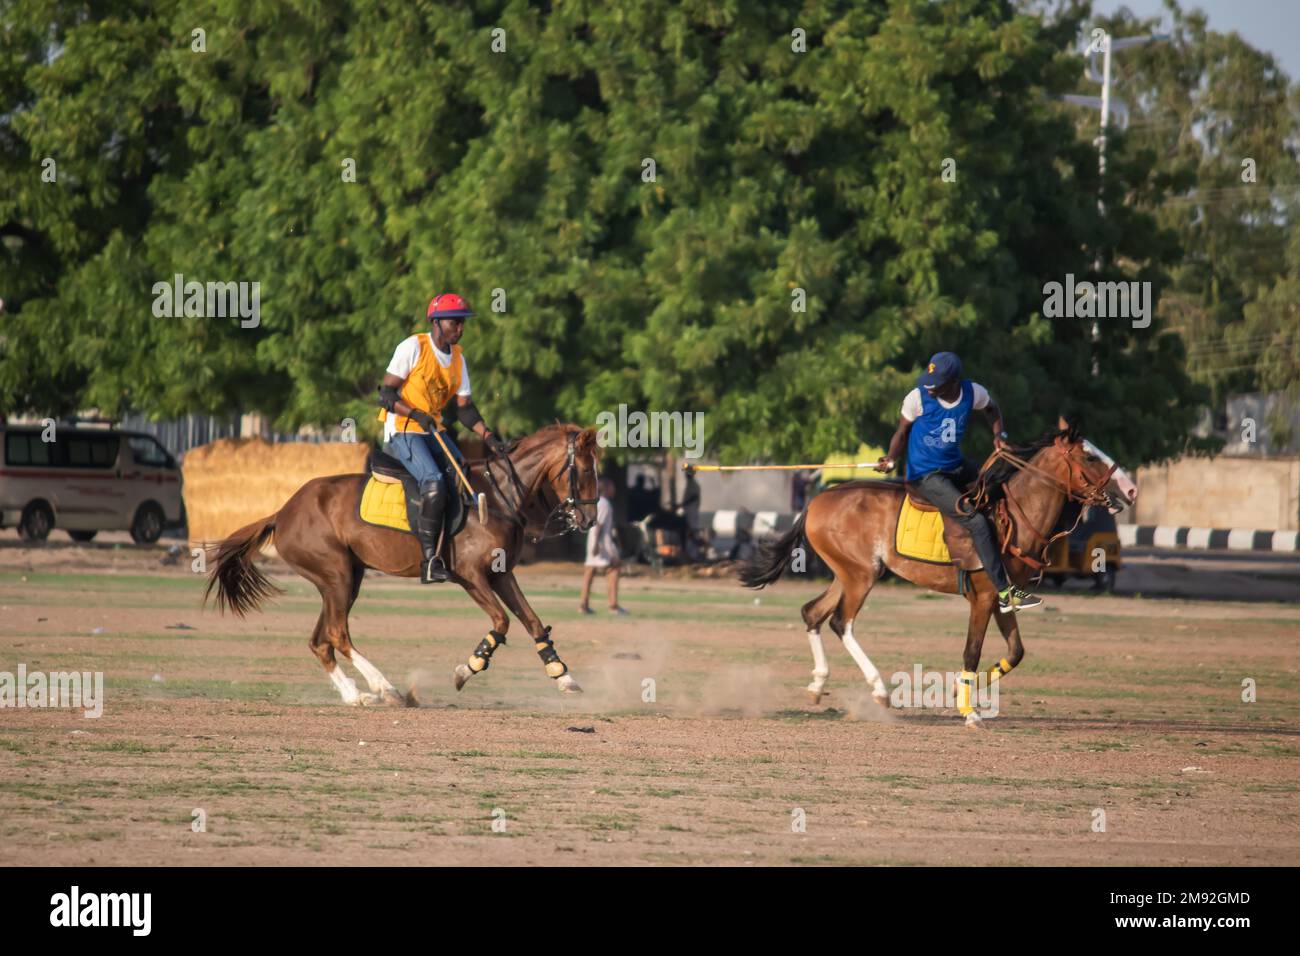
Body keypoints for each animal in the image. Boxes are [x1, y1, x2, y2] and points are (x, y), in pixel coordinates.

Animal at [205, 424, 600, 702]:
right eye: (583, 470)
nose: (590, 519)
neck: (496, 494)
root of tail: (282, 512)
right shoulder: (470, 576)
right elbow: (501, 622)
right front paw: (467, 668)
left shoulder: (501, 574)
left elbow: (531, 621)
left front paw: (563, 675)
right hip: (336, 574)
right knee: (337, 634)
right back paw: (385, 688)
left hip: (344, 579)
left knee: (321, 640)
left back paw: (356, 696)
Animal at [738, 426, 1133, 723]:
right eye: (1089, 456)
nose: (1130, 489)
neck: (1016, 518)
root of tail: (816, 501)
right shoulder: (983, 597)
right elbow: (972, 650)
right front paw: (968, 710)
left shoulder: (1003, 598)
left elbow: (1016, 651)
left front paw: (966, 688)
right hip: (861, 575)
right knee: (840, 621)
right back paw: (878, 690)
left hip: (846, 572)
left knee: (813, 613)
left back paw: (818, 685)